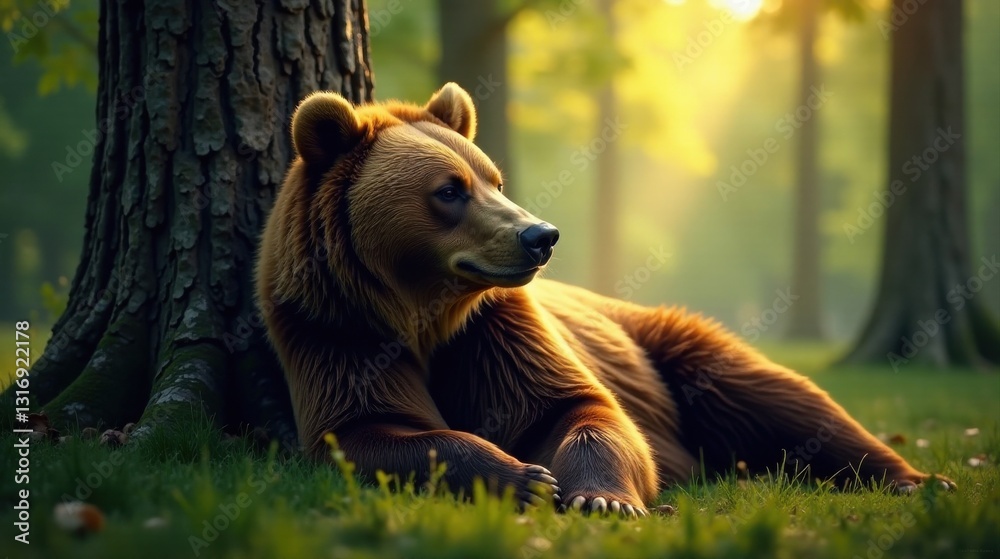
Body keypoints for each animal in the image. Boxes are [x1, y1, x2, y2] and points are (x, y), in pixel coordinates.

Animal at [255, 83, 953, 517]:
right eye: (449, 189)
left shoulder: (498, 330)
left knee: (784, 401)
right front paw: (520, 477)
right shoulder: (336, 332)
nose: (539, 235)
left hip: (673, 347)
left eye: (494, 179)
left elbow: (577, 406)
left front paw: (599, 496)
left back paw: (920, 479)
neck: (423, 313)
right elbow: (371, 429)